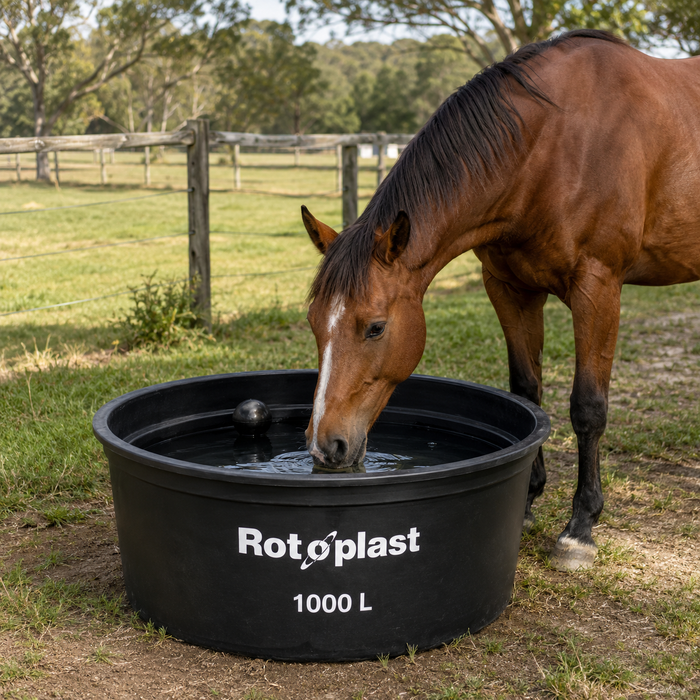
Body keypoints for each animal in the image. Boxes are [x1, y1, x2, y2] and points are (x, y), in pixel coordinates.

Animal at [300, 29, 700, 571]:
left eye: (375, 327)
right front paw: (527, 500)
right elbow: (527, 394)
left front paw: (580, 527)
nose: (326, 447)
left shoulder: (598, 287)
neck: (552, 146)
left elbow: (588, 407)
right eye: (314, 322)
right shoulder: (510, 288)